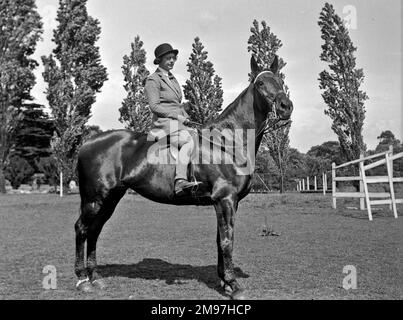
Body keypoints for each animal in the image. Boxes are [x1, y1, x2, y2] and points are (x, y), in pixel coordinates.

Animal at [74, 55, 294, 300]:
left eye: (280, 81)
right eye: (261, 84)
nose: (286, 107)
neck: (227, 143)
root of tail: (88, 143)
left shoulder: (227, 202)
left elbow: (220, 240)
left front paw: (224, 282)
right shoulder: (225, 200)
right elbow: (227, 240)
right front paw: (233, 285)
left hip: (111, 198)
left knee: (94, 230)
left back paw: (95, 277)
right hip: (94, 199)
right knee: (82, 229)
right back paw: (82, 279)